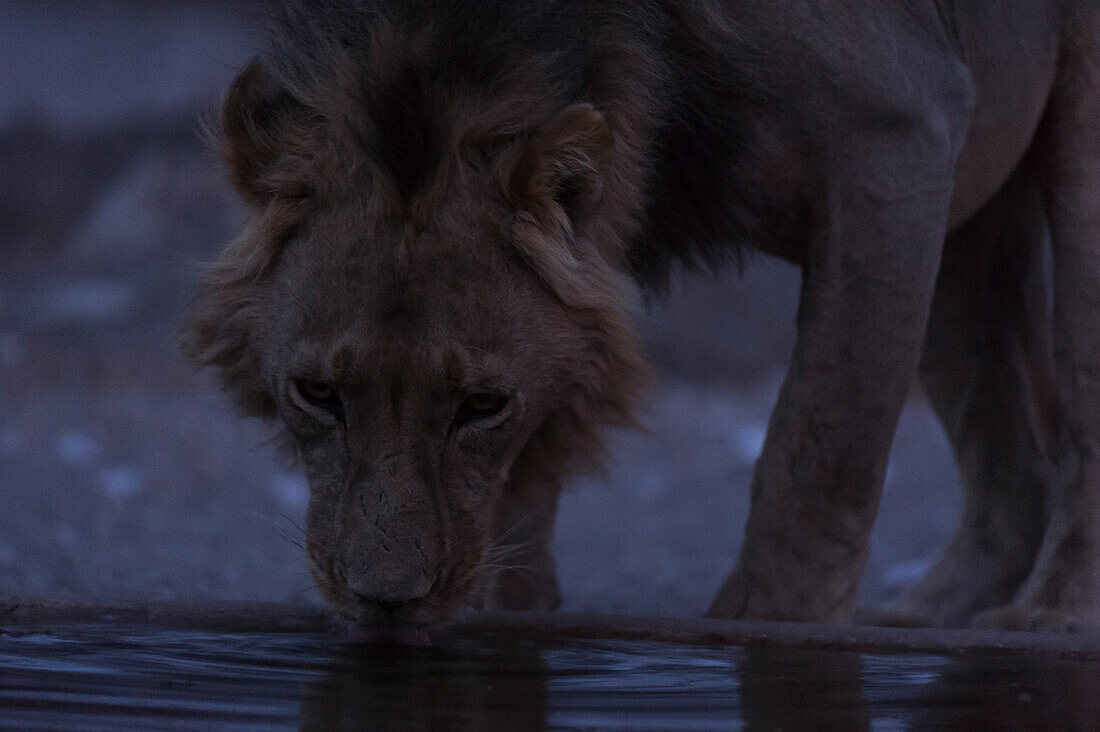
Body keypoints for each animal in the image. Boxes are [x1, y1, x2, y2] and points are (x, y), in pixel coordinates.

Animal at [182, 1, 1100, 634]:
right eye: (316, 394)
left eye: (482, 405)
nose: (386, 603)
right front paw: (511, 615)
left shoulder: (898, 130)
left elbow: (818, 449)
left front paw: (768, 632)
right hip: (966, 216)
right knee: (1013, 465)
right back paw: (929, 622)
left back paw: (1046, 617)